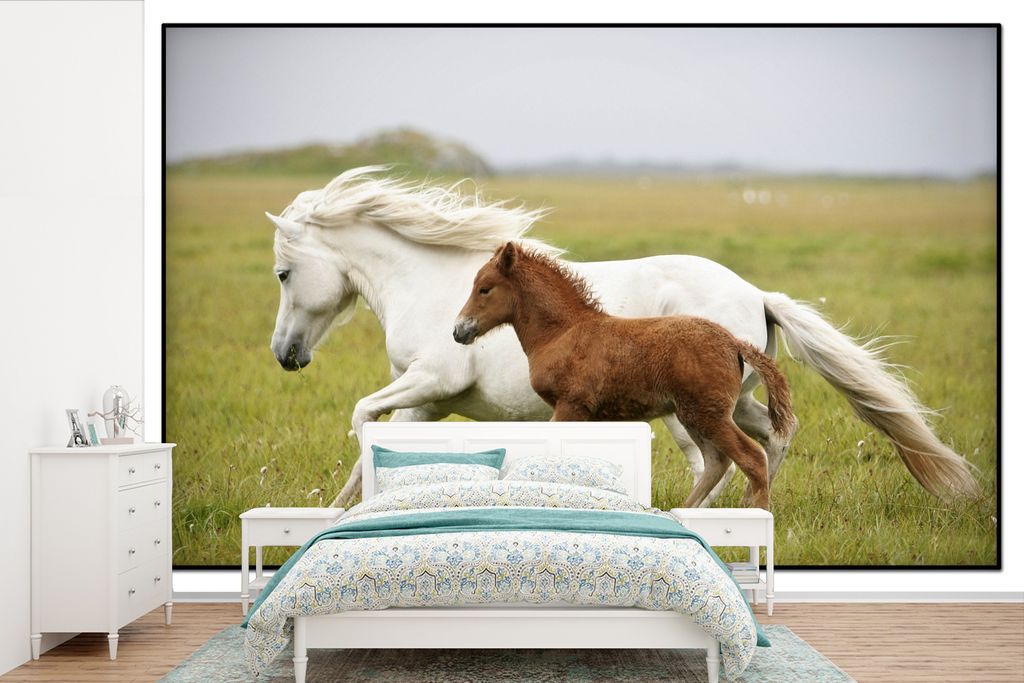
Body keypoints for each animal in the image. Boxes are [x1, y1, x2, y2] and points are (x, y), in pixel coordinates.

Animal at [453, 242, 797, 510]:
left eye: (484, 289)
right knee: (717, 462)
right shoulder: (588, 415)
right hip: (693, 414)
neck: (562, 332)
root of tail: (733, 343)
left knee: (751, 458)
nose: (459, 330)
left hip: (708, 414)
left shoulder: (570, 406)